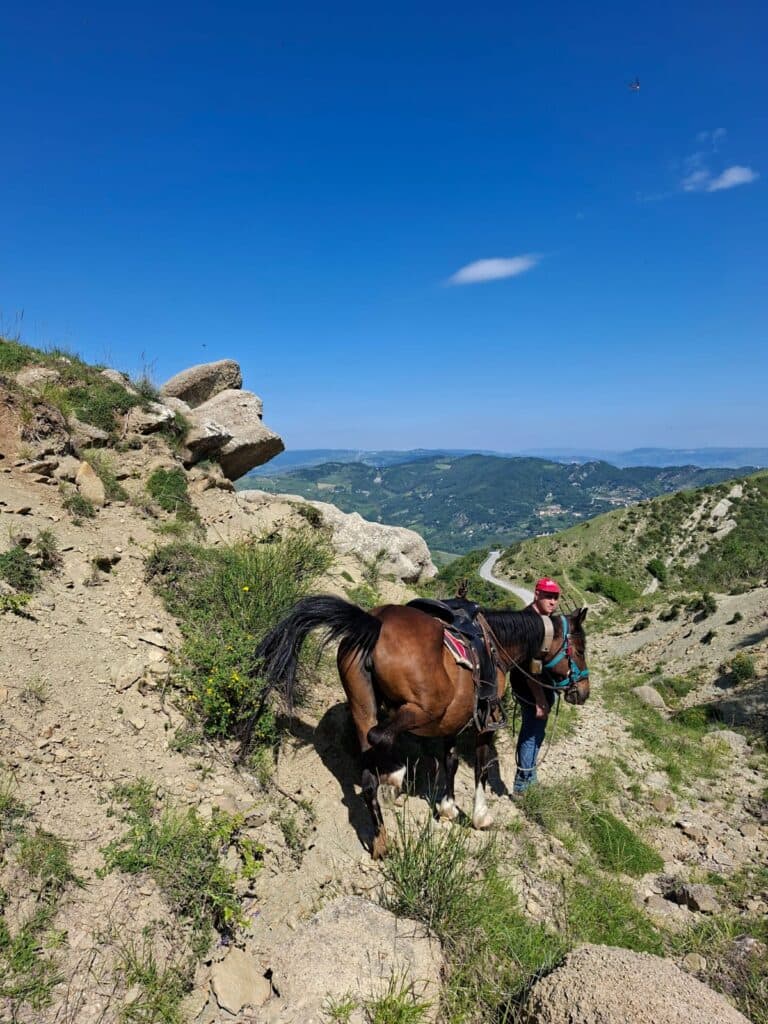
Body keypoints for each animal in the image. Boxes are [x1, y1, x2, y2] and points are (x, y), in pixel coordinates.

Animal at [247, 596, 589, 858]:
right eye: (580, 649)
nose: (583, 692)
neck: (496, 642)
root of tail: (375, 622)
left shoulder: (451, 722)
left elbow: (450, 761)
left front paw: (447, 806)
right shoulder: (483, 723)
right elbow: (479, 765)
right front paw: (479, 815)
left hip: (364, 706)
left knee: (368, 772)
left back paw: (382, 841)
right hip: (420, 709)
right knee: (380, 737)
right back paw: (394, 776)